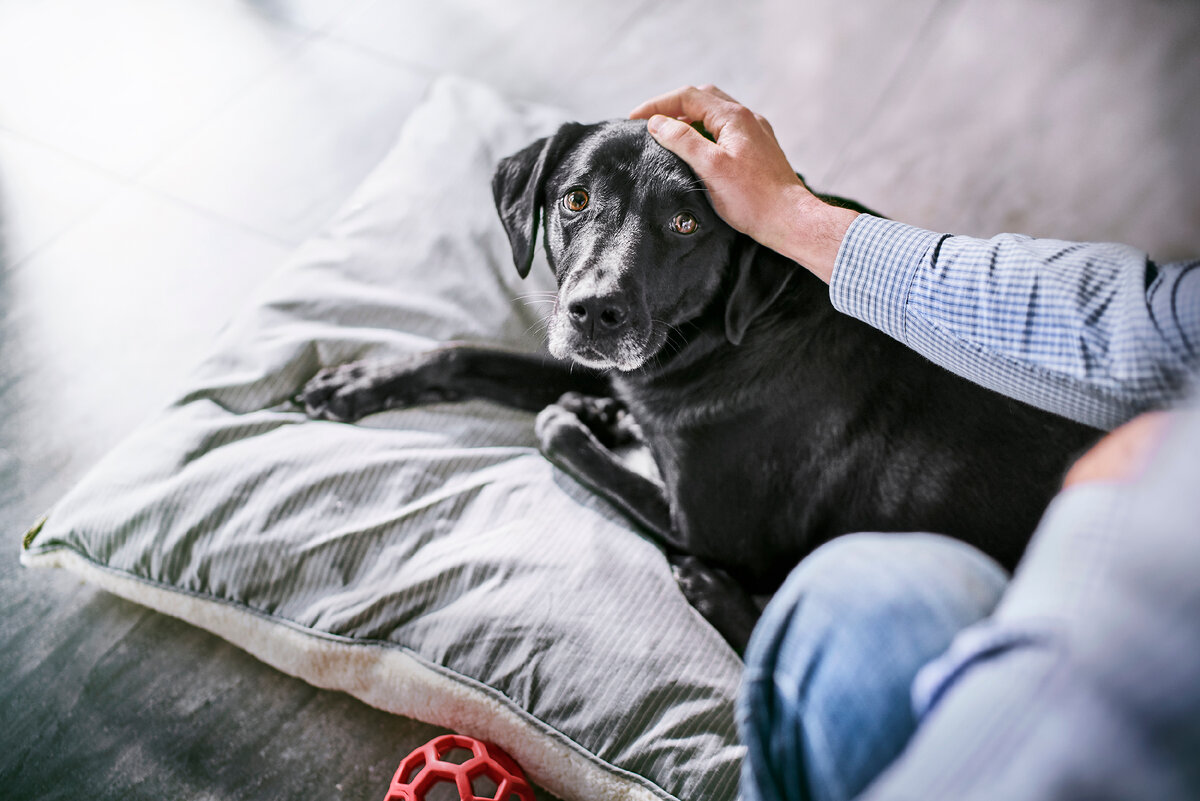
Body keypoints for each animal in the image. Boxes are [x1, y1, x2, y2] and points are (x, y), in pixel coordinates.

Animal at [304, 122, 1099, 652]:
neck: (728, 335)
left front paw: (582, 419)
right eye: (574, 200)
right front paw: (364, 379)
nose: (594, 311)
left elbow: (556, 431)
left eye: (686, 223)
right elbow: (466, 352)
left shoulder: (709, 528)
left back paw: (710, 590)